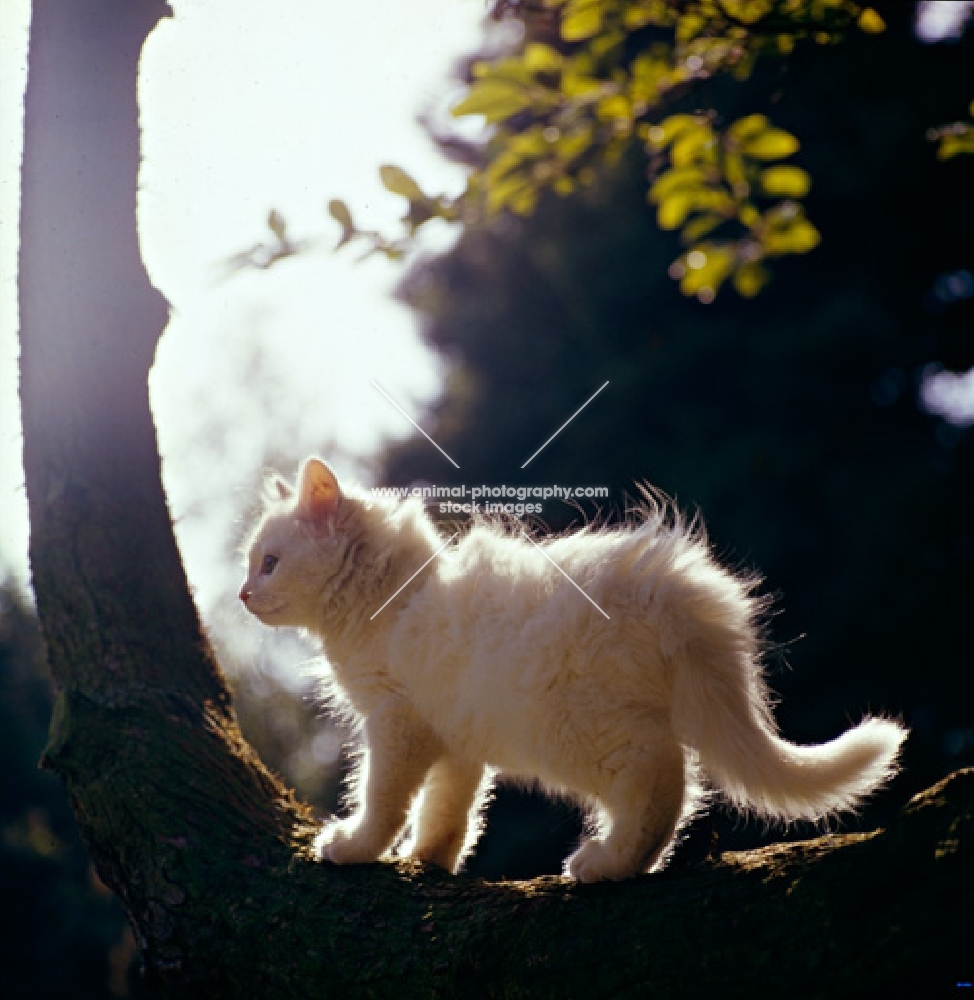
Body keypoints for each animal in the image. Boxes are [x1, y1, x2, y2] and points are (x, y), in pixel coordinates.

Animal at [240, 458, 912, 880]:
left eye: (269, 563)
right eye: (252, 565)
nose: (243, 595)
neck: (391, 598)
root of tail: (671, 590)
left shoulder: (395, 721)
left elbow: (382, 797)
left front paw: (355, 846)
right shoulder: (455, 738)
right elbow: (449, 811)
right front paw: (430, 859)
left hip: (577, 728)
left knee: (665, 776)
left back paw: (610, 862)